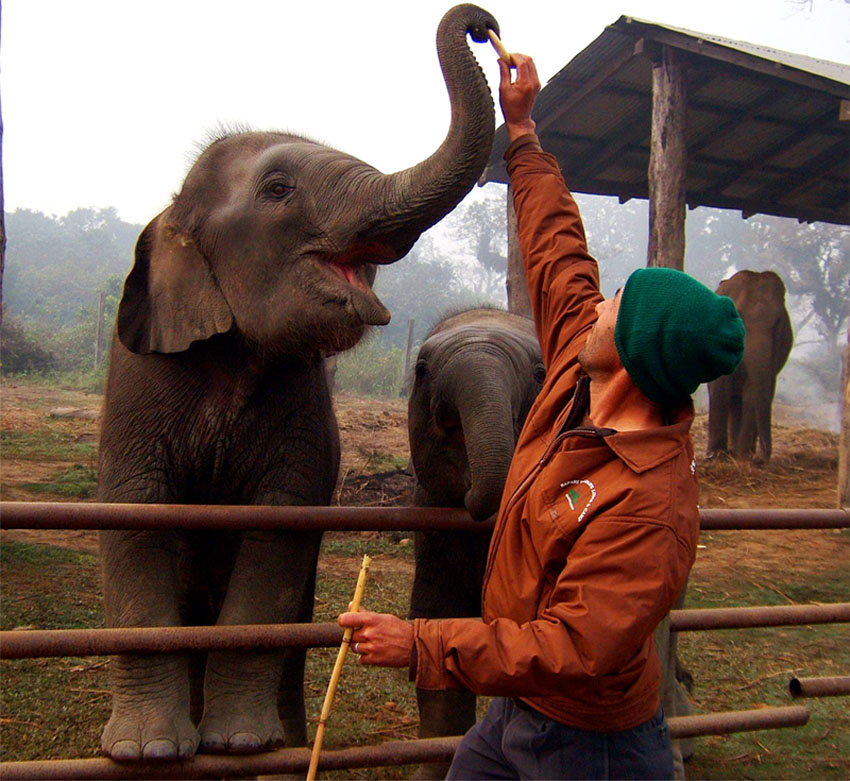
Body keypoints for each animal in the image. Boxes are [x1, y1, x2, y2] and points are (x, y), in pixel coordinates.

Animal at [97, 4, 500, 760]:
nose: (483, 27)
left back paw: (276, 738)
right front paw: (148, 752)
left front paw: (238, 743)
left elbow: (278, 532)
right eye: (278, 190)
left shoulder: (306, 406)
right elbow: (137, 517)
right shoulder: (135, 385)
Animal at [704, 270, 792, 460]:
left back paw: (737, 451)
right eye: (738, 318)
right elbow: (720, 386)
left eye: (778, 323)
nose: (760, 458)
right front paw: (715, 456)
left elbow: (751, 390)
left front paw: (743, 457)